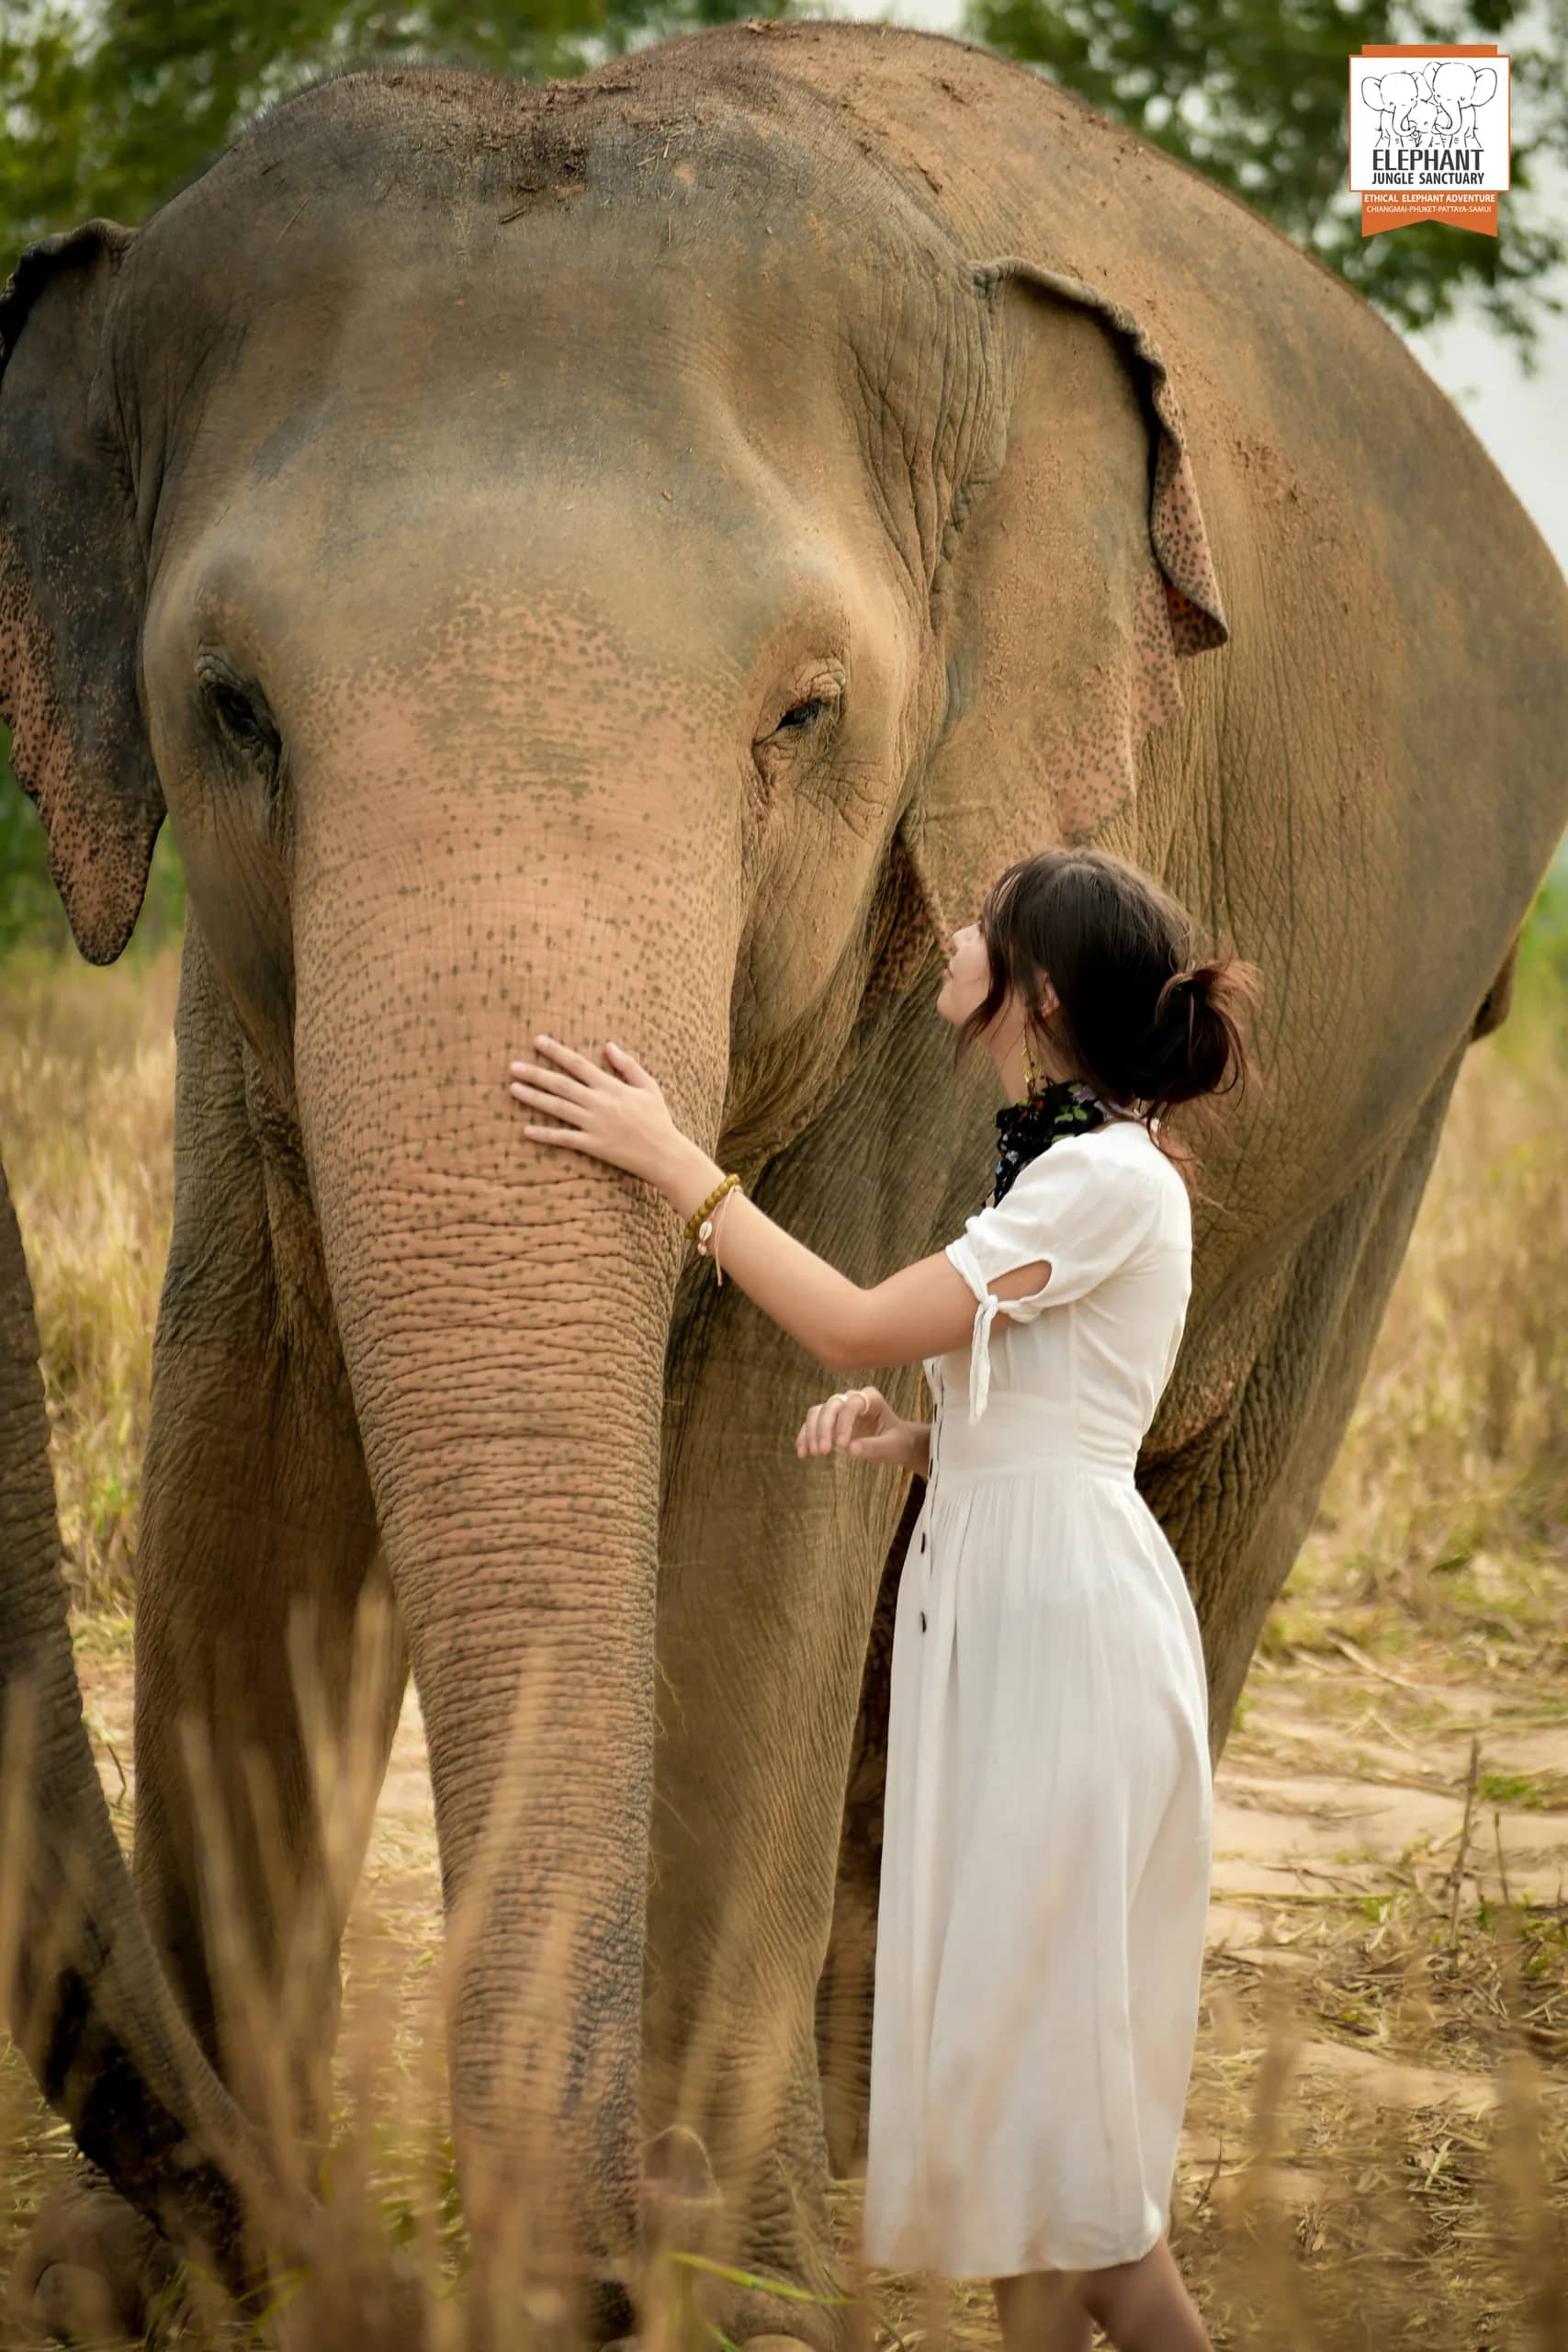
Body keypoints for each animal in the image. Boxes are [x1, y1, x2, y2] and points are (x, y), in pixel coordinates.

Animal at [3, 14, 1567, 2342]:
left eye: (807, 712)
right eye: (232, 706)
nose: (568, 2233)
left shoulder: (946, 880)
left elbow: (763, 1474)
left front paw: (712, 2280)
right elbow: (247, 1427)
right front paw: (160, 2278)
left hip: (1407, 1055)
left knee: (1200, 1513)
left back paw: (938, 2198)